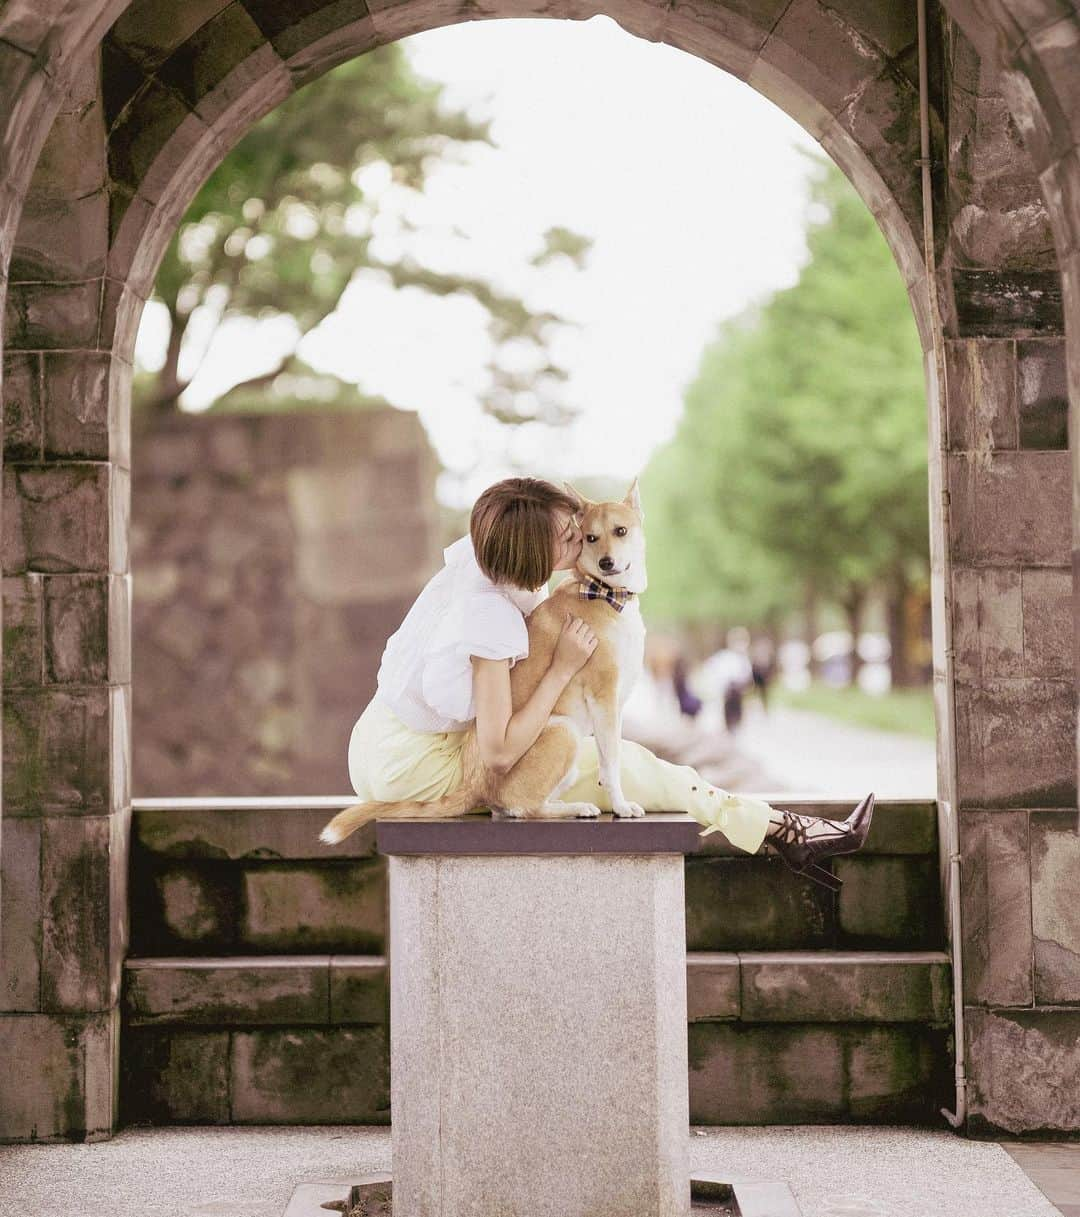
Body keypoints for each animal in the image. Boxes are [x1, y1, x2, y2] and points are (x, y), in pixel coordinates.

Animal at [316, 479, 647, 842]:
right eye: (590, 537)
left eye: (620, 531)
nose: (605, 563)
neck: (600, 591)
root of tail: (474, 786)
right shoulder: (604, 698)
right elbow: (611, 763)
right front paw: (621, 805)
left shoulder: (614, 706)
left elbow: (607, 758)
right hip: (564, 730)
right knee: (525, 808)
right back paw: (573, 809)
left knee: (508, 810)